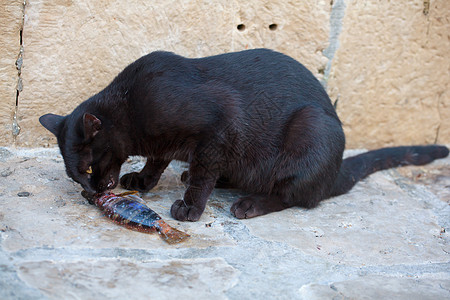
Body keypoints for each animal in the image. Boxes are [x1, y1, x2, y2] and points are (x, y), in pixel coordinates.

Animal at [39, 49, 450, 221]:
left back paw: (249, 204)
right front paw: (142, 180)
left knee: (294, 197)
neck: (130, 105)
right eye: (75, 176)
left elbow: (201, 177)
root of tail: (336, 171)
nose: (90, 193)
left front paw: (190, 208)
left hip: (310, 129)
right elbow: (158, 162)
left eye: (87, 170)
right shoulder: (167, 144)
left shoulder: (218, 130)